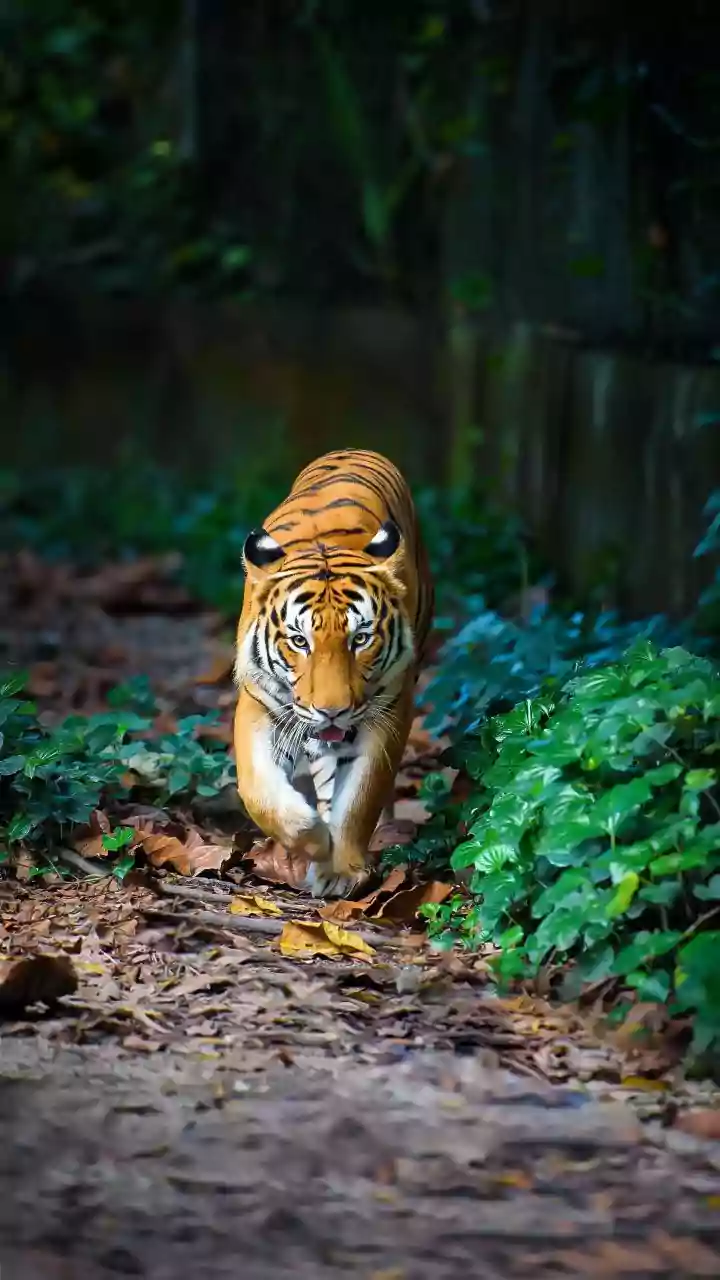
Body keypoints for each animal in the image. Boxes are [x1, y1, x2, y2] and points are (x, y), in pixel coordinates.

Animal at [233, 447, 434, 898]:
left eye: (360, 639)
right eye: (299, 641)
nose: (332, 710)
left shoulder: (389, 711)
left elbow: (361, 797)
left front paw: (341, 868)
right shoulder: (259, 703)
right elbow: (258, 791)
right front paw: (311, 837)